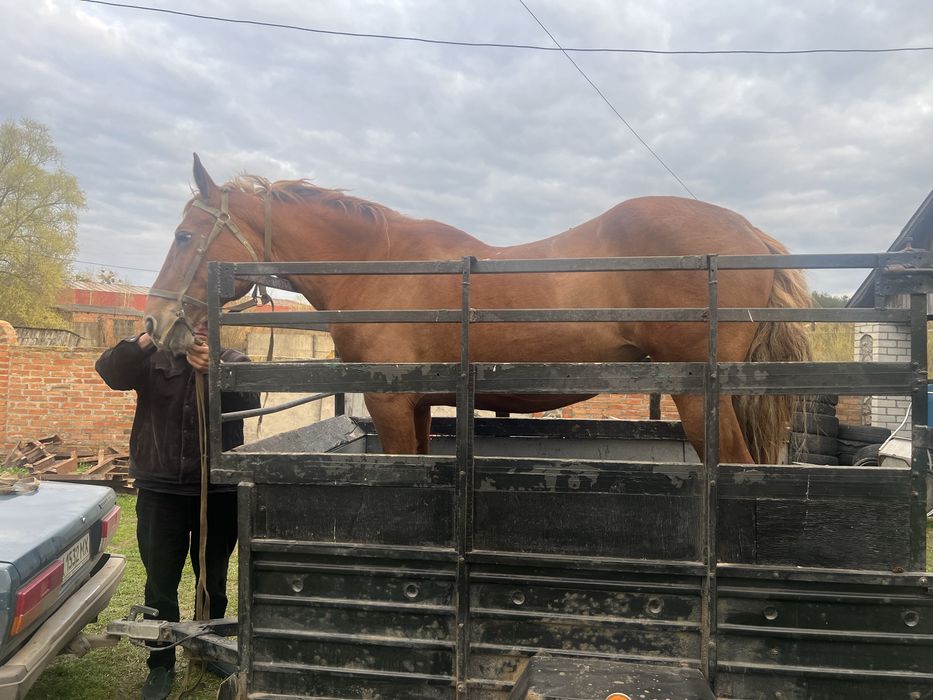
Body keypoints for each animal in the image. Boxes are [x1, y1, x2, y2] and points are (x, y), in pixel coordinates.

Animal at [144, 154, 811, 464]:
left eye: (183, 236)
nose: (156, 323)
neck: (380, 267)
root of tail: (751, 233)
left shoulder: (388, 402)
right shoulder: (414, 403)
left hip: (702, 397)